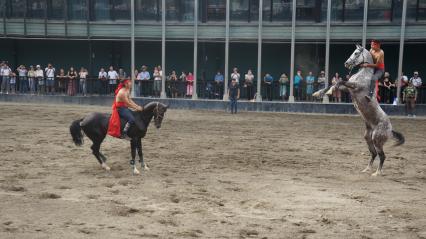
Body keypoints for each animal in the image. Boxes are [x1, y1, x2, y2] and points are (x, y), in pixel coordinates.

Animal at [314, 44, 404, 176]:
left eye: (356, 53)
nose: (346, 63)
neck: (363, 74)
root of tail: (390, 130)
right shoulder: (347, 88)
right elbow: (335, 84)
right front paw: (319, 93)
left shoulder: (355, 86)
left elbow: (339, 81)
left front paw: (329, 92)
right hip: (368, 138)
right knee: (374, 154)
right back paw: (367, 169)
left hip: (377, 140)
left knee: (382, 156)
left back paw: (376, 173)